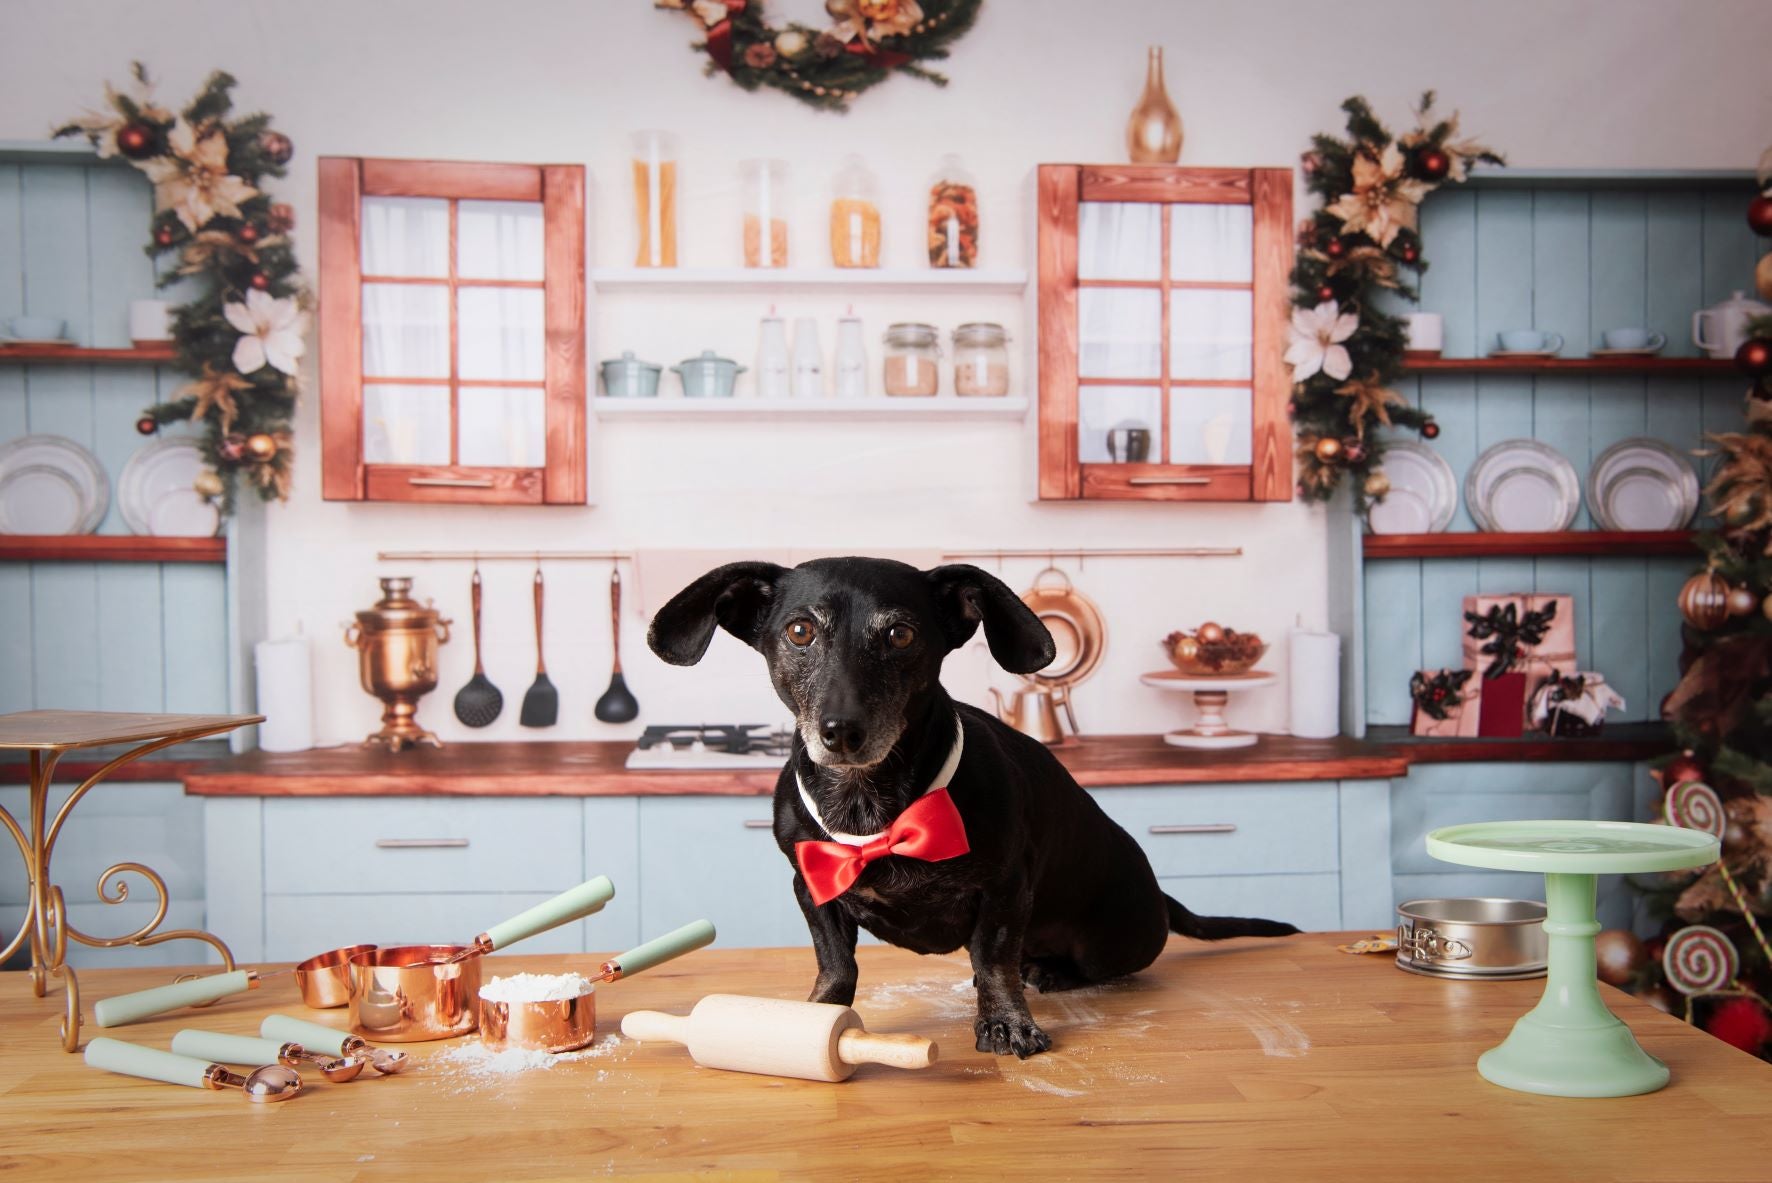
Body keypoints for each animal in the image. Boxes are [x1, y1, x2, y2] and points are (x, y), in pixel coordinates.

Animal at [652, 559, 1304, 1055]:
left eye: (901, 636)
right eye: (799, 632)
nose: (841, 732)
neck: (872, 805)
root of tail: (1160, 898)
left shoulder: (1005, 889)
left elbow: (994, 959)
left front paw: (1006, 1022)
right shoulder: (812, 884)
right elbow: (836, 963)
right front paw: (816, 1016)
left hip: (1115, 942)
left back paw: (1050, 972)